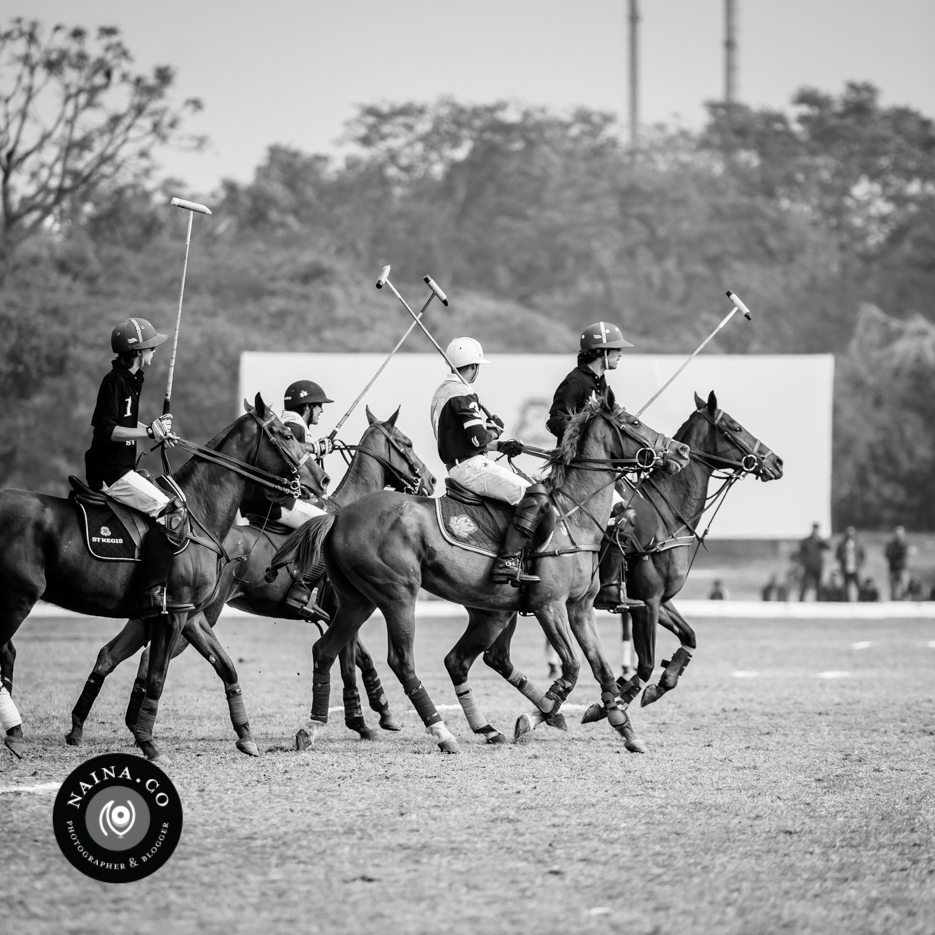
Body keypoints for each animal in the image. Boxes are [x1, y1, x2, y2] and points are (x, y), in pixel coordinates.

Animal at [0, 392, 308, 764]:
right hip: (18, 598)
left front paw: (246, 737)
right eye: (287, 435)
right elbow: (157, 678)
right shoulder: (172, 614)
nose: (315, 480)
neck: (199, 514)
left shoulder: (191, 615)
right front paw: (149, 743)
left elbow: (226, 667)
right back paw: (15, 733)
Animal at [62, 406, 436, 756]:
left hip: (165, 611)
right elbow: (356, 660)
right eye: (406, 442)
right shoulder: (340, 609)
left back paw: (90, 727)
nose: (431, 481)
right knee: (150, 657)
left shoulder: (338, 612)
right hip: (202, 613)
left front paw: (367, 719)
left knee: (114, 654)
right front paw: (375, 718)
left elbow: (352, 660)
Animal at [274, 398, 692, 756]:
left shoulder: (580, 608)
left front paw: (625, 728)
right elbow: (572, 668)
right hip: (398, 595)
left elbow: (601, 668)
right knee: (402, 661)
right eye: (633, 422)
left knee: (328, 650)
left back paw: (312, 728)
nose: (681, 451)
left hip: (359, 599)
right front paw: (536, 717)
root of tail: (338, 515)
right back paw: (442, 733)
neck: (573, 515)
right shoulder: (550, 606)